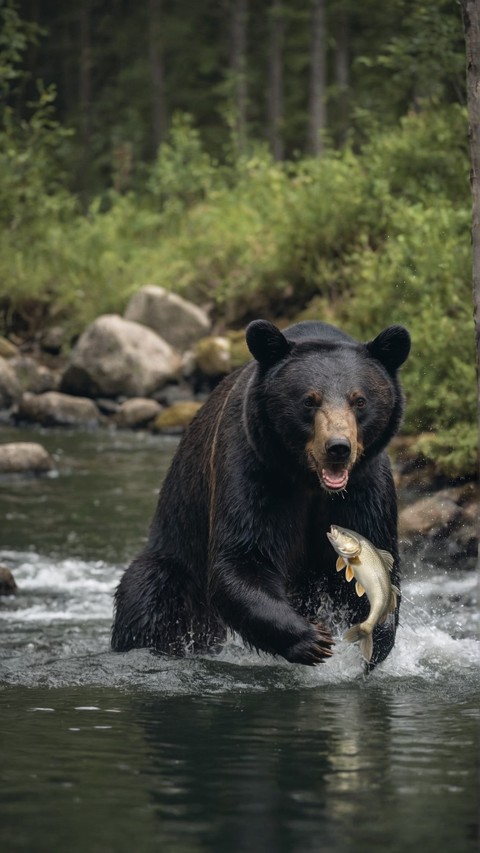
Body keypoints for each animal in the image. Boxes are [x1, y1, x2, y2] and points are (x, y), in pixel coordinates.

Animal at [111, 318, 408, 664]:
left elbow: (375, 556)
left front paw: (378, 634)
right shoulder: (255, 469)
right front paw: (312, 638)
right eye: (309, 400)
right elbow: (243, 557)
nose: (338, 448)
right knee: (147, 598)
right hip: (177, 565)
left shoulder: (365, 488)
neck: (310, 482)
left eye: (359, 400)